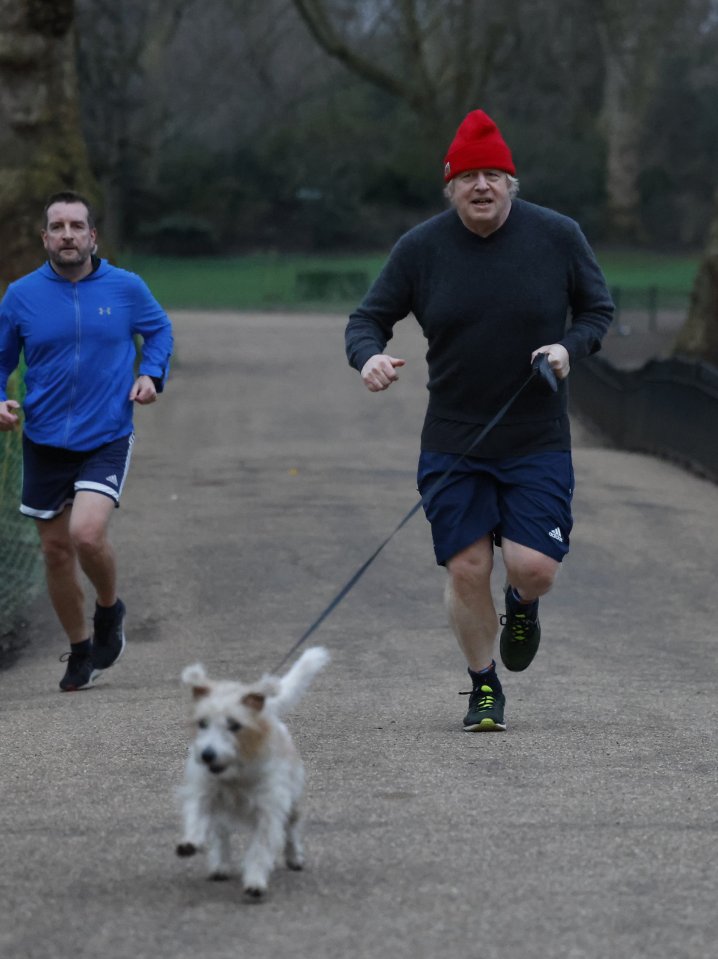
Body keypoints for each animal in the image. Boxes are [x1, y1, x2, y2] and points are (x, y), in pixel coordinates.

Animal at [176, 644, 330, 900]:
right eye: (202, 723)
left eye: (234, 725)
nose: (207, 754)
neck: (235, 776)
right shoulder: (205, 792)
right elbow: (197, 815)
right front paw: (190, 842)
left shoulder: (269, 811)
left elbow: (260, 850)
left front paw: (255, 882)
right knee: (221, 836)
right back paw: (220, 865)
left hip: (291, 801)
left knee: (291, 830)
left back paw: (294, 857)